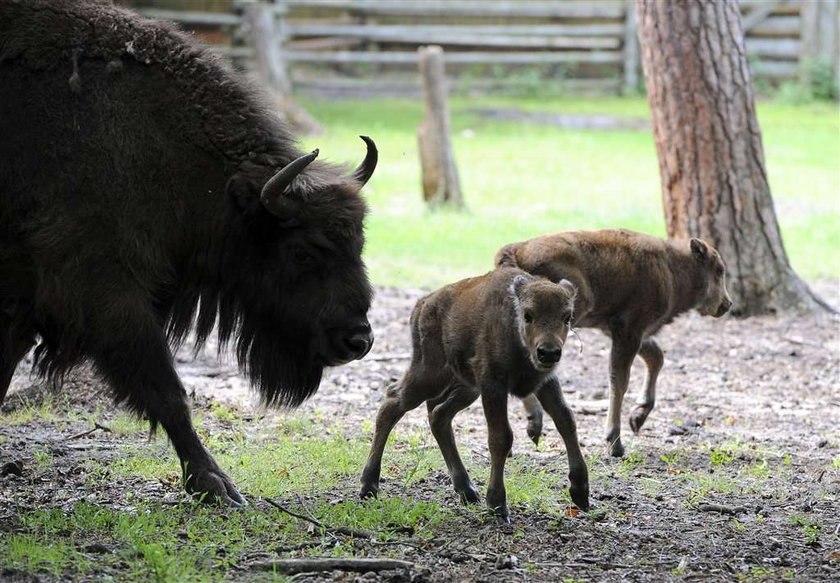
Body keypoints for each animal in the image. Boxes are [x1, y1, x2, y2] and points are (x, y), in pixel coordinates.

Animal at [0, 0, 376, 504]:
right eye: (304, 251)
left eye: (359, 243)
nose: (358, 341)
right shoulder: (105, 294)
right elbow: (166, 390)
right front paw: (215, 484)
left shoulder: (24, 304)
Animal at [360, 266, 592, 524]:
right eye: (528, 314)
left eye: (567, 316)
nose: (548, 352)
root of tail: (423, 304)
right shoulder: (493, 384)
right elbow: (501, 438)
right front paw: (498, 505)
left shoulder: (545, 382)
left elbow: (566, 420)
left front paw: (581, 492)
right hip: (430, 376)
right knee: (393, 401)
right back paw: (369, 485)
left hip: (466, 388)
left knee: (438, 415)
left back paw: (467, 490)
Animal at [496, 230, 732, 458]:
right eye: (718, 270)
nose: (727, 304)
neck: (670, 266)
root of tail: (515, 250)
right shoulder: (629, 331)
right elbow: (619, 381)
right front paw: (615, 443)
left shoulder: (621, 331)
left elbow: (656, 357)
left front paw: (638, 417)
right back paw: (533, 424)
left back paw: (529, 427)